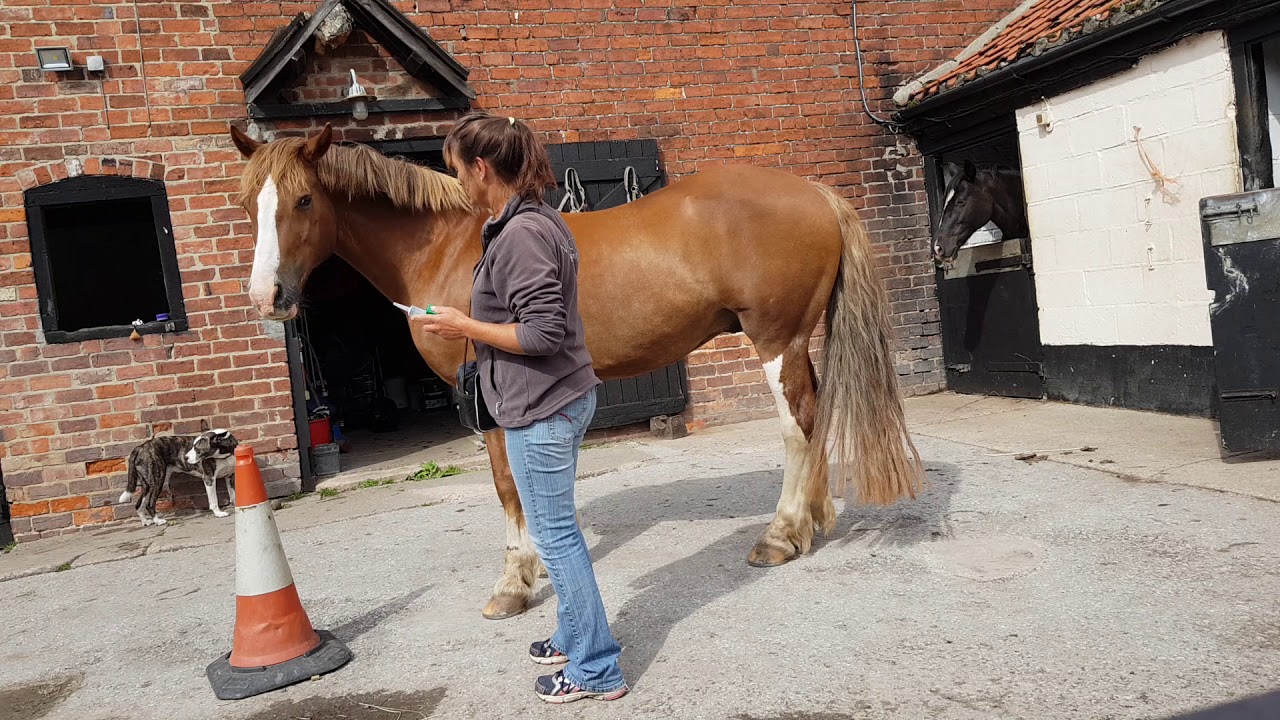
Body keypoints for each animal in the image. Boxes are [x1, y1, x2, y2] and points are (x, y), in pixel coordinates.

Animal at [229, 123, 923, 619]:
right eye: (246, 203)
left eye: (304, 199)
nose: (267, 297)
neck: (450, 245)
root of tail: (815, 194)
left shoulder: (488, 397)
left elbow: (508, 488)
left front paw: (514, 582)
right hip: (799, 340)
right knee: (816, 415)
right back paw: (815, 521)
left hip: (776, 340)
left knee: (796, 426)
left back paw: (780, 535)